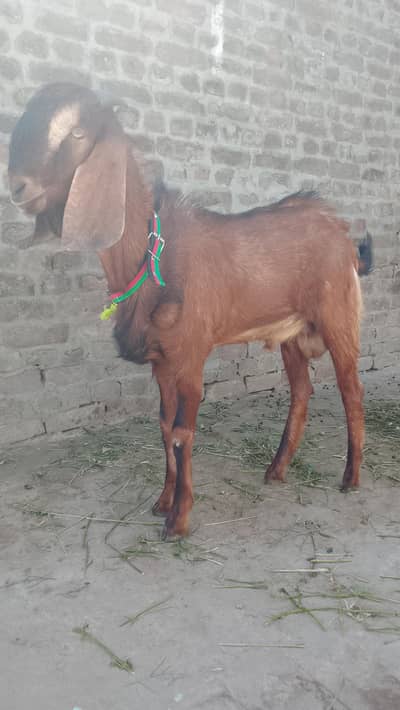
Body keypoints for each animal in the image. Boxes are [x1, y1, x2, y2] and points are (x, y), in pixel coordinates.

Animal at [8, 82, 373, 539]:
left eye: (76, 133)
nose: (17, 187)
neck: (150, 255)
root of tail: (340, 231)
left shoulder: (191, 355)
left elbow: (183, 432)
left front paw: (179, 519)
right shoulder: (162, 362)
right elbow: (165, 429)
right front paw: (162, 503)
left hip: (338, 318)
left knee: (350, 390)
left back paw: (351, 478)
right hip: (290, 333)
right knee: (302, 392)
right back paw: (276, 470)